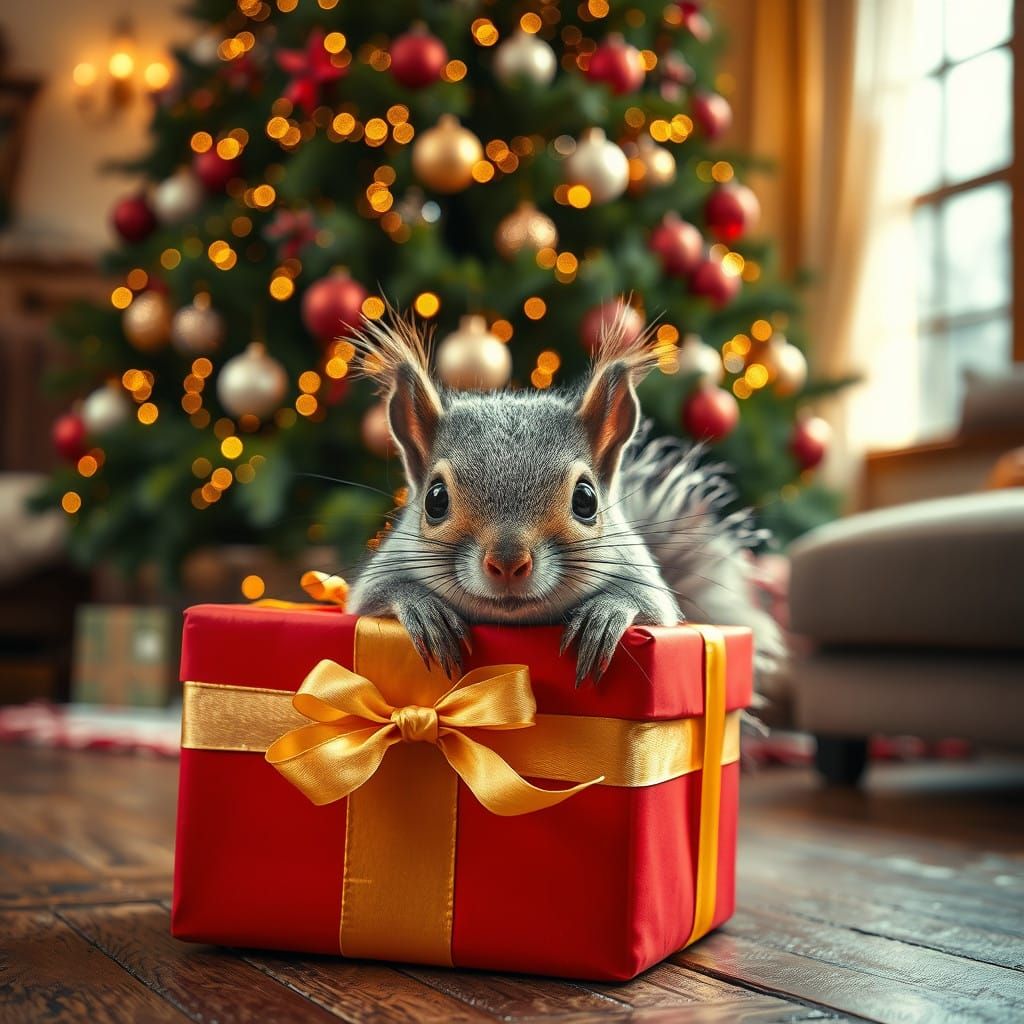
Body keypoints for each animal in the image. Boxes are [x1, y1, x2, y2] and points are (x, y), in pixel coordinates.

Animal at [348, 311, 785, 686]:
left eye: (586, 500)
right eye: (435, 499)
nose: (508, 562)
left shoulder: (647, 584)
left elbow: (649, 602)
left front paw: (606, 613)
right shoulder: (377, 577)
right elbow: (375, 596)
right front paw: (422, 609)